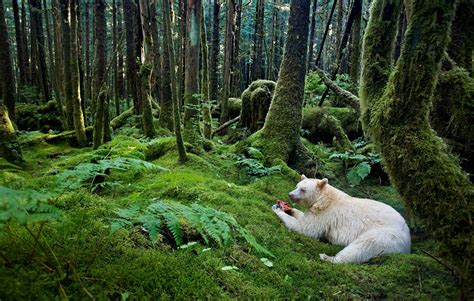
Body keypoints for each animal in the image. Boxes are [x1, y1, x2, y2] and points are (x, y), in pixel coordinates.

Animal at [274, 175, 412, 262]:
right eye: (296, 186)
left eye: (302, 189)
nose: (290, 194)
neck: (324, 199)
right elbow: (303, 218)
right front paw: (289, 209)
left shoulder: (325, 214)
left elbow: (306, 229)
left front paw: (278, 209)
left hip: (386, 236)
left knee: (362, 246)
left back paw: (328, 258)